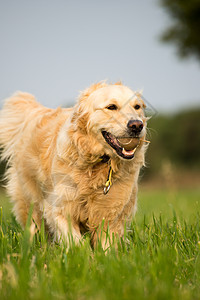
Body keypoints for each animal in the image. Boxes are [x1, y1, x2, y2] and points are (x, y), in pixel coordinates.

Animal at [0, 82, 148, 248]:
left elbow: (107, 246)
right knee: (34, 227)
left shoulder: (111, 213)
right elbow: (76, 243)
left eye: (137, 106)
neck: (98, 163)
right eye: (111, 107)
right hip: (29, 200)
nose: (137, 125)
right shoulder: (61, 208)